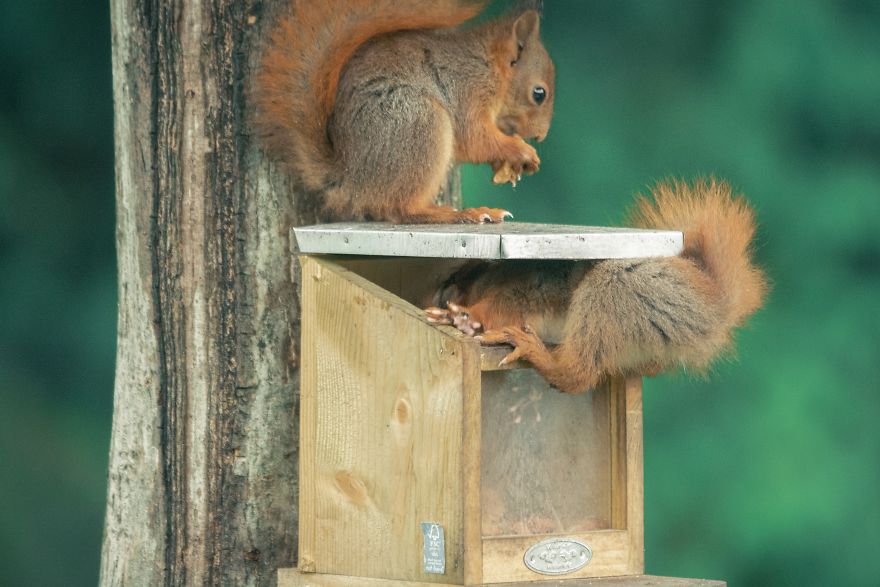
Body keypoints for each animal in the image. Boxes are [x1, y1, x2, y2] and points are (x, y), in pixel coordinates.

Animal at [256, 0, 556, 224]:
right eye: (539, 93)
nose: (541, 136)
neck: (488, 65)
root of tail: (351, 179)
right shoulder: (467, 92)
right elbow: (475, 139)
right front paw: (521, 151)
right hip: (421, 122)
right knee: (399, 209)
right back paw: (458, 214)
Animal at [428, 179, 768, 390]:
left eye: (456, 278)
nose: (441, 295)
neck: (492, 279)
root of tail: (715, 306)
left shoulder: (529, 288)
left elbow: (499, 306)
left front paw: (466, 317)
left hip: (615, 290)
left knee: (577, 375)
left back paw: (534, 350)